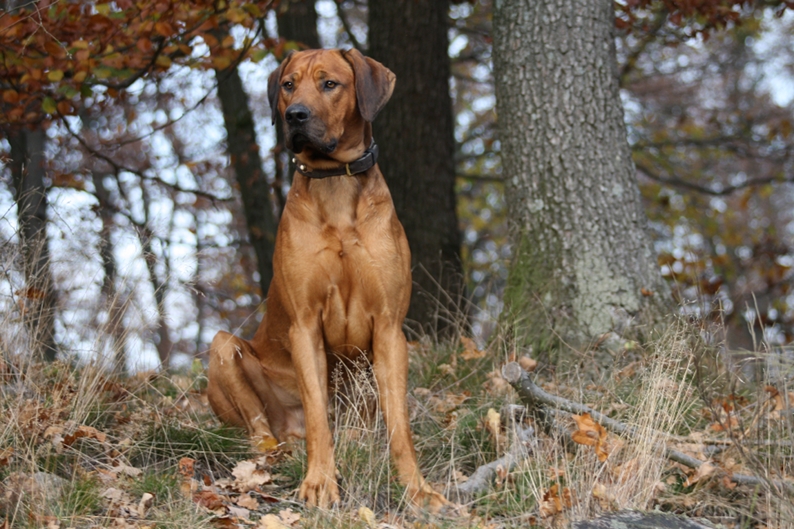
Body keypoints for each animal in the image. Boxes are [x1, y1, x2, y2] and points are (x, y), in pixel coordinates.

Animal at [206, 48, 446, 508]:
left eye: (329, 84)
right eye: (288, 85)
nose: (294, 116)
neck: (335, 182)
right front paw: (319, 483)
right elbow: (318, 412)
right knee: (262, 428)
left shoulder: (390, 327)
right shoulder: (303, 325)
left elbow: (400, 423)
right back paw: (271, 456)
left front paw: (417, 488)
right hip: (224, 349)